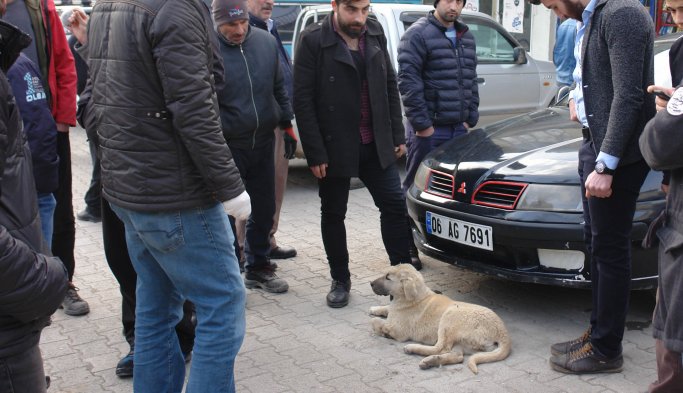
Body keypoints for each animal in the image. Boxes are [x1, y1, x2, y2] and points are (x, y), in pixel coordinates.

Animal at [372, 262, 510, 372]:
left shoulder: (399, 330)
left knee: (440, 348)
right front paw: (374, 309)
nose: (371, 283)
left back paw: (413, 348)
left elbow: (375, 322)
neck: (414, 297)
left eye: (388, 277)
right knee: (457, 356)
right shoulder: (394, 309)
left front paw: (382, 330)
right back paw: (430, 361)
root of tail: (503, 332)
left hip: (449, 318)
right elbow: (388, 308)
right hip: (463, 342)